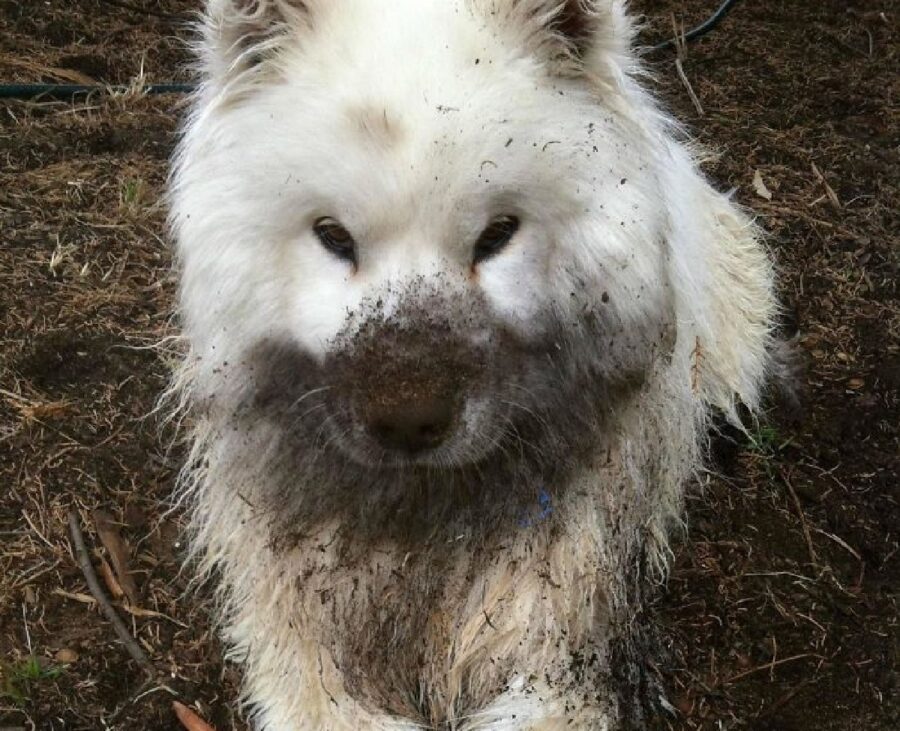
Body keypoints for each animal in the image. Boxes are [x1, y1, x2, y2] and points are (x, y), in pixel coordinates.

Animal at [172, 2, 776, 728]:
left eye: (497, 236)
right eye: (333, 237)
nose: (408, 423)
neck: (427, 517)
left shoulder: (555, 651)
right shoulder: (307, 649)